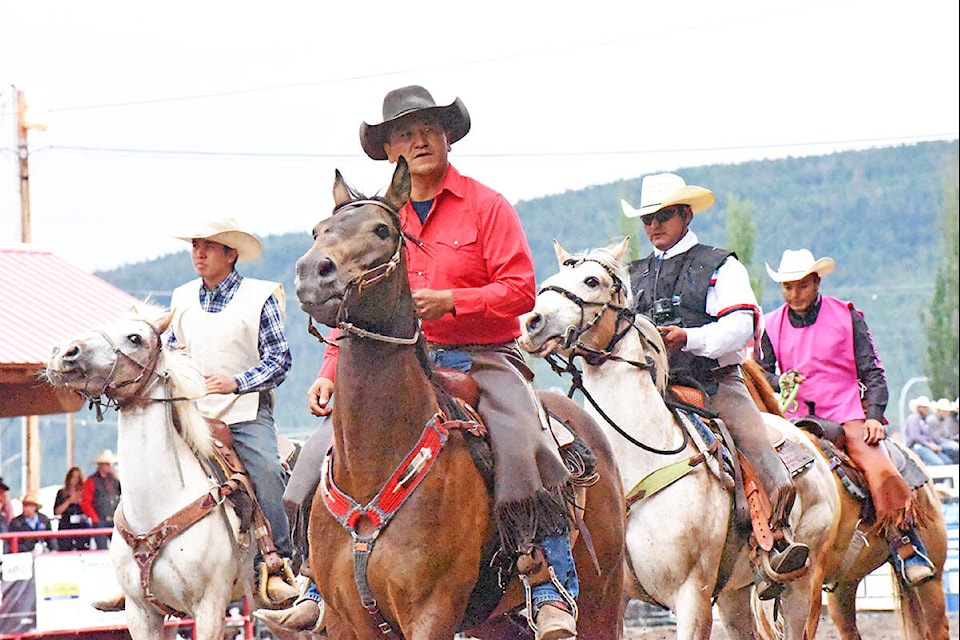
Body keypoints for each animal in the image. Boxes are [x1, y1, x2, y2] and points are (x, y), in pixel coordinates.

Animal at [296, 158, 628, 636]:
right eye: (318, 230)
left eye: (381, 230)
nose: (311, 273)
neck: (374, 465)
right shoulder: (346, 618)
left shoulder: (431, 611)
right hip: (494, 621)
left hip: (603, 598)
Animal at [516, 239, 840, 640]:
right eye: (551, 278)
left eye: (592, 280)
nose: (531, 323)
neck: (639, 461)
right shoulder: (611, 596)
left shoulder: (693, 597)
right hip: (734, 595)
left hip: (803, 586)